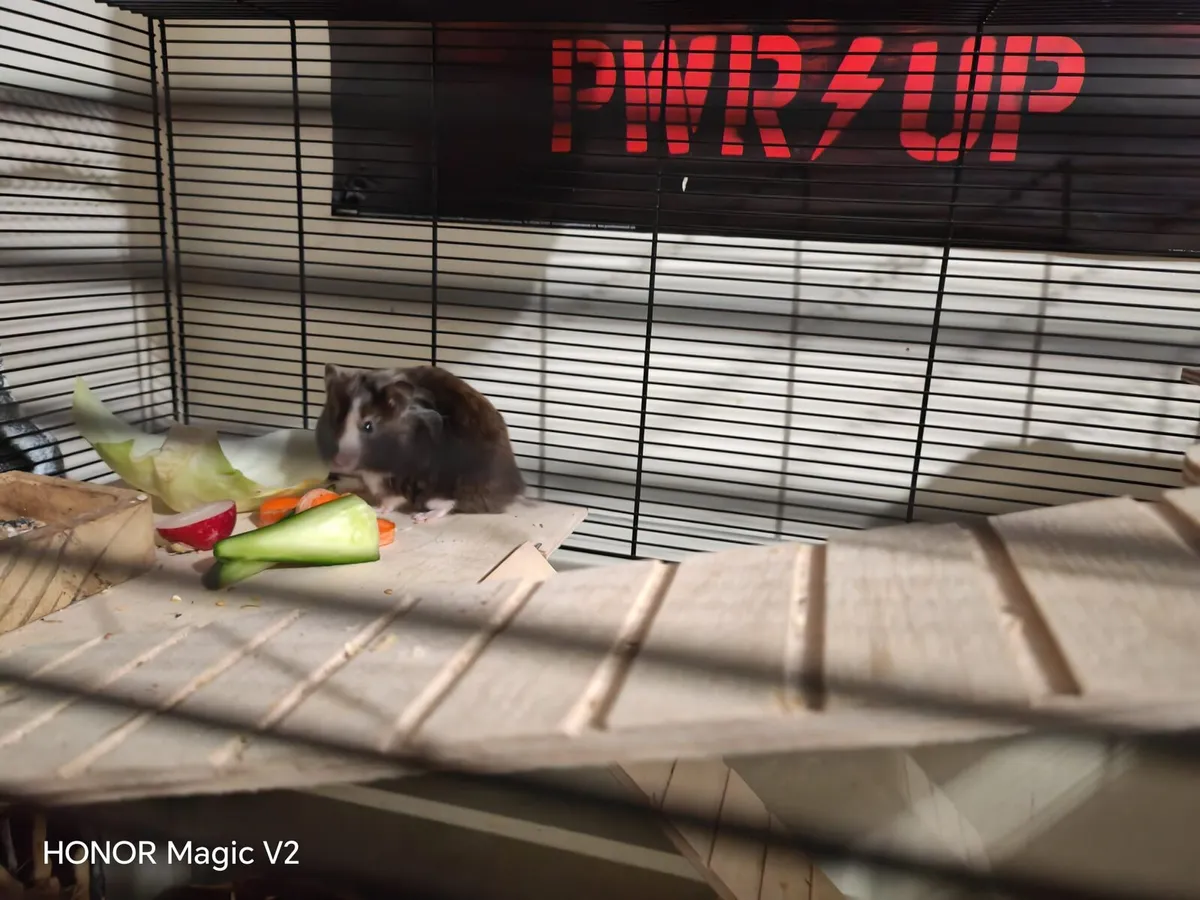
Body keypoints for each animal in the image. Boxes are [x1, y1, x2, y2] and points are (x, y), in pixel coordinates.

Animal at [315, 363, 526, 524]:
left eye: (368, 426)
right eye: (336, 421)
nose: (338, 462)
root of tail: (514, 489)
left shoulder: (396, 479)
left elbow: (390, 500)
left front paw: (375, 509)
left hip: (438, 491)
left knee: (447, 505)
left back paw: (420, 517)